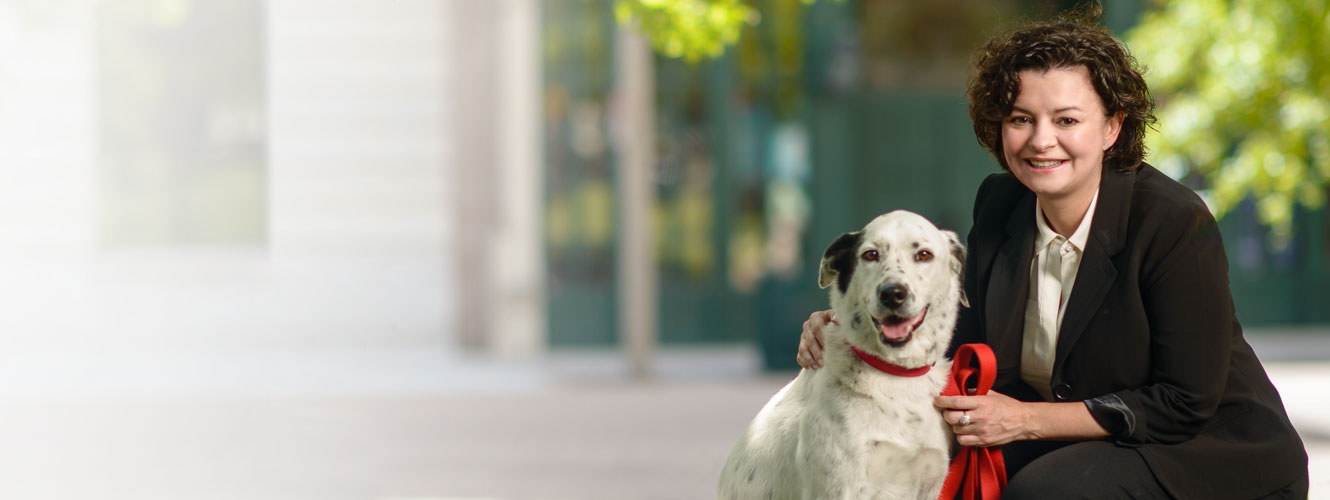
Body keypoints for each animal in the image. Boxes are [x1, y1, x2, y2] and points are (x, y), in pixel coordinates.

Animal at [718, 211, 968, 500]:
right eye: (870, 254)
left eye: (924, 255)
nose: (892, 293)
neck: (895, 377)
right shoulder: (843, 488)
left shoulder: (930, 482)